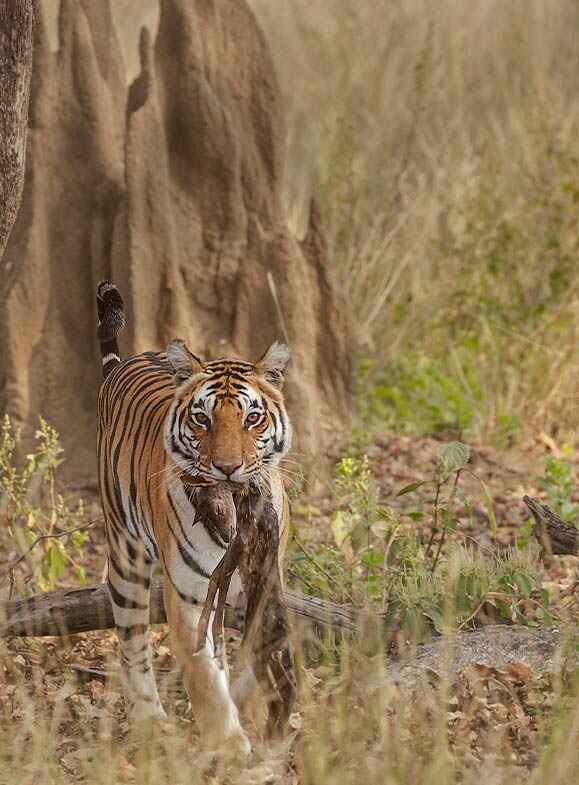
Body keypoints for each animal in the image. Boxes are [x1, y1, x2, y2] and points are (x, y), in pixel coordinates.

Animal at [98, 282, 294, 752]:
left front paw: (249, 705)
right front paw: (229, 744)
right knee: (133, 643)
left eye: (252, 417)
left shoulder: (263, 581)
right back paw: (150, 722)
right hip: (126, 560)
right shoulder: (188, 595)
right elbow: (205, 676)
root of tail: (122, 364)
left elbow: (251, 655)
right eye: (202, 418)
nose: (227, 469)